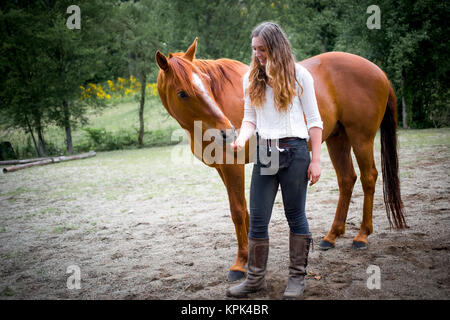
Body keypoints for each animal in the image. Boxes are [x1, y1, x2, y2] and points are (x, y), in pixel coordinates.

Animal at [156, 38, 408, 282]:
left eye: (208, 82)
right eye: (182, 93)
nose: (227, 132)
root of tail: (379, 72)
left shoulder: (233, 166)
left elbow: (238, 211)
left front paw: (240, 264)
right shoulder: (223, 169)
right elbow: (246, 212)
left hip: (360, 137)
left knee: (368, 178)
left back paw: (362, 236)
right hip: (338, 138)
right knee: (347, 179)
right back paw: (331, 236)